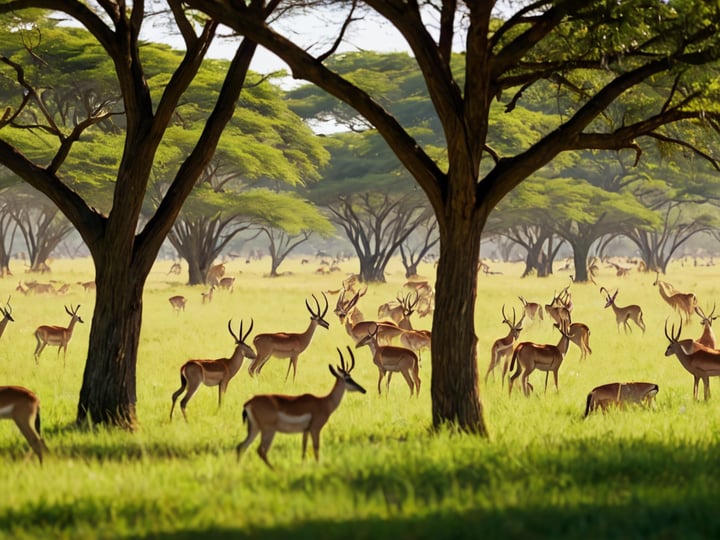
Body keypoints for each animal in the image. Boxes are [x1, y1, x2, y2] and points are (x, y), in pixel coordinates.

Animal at [236, 346, 366, 469]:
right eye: (348, 378)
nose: (363, 390)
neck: (324, 402)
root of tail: (248, 402)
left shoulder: (305, 431)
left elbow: (303, 450)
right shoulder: (315, 429)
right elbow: (316, 449)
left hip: (255, 429)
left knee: (241, 446)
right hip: (268, 431)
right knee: (260, 451)